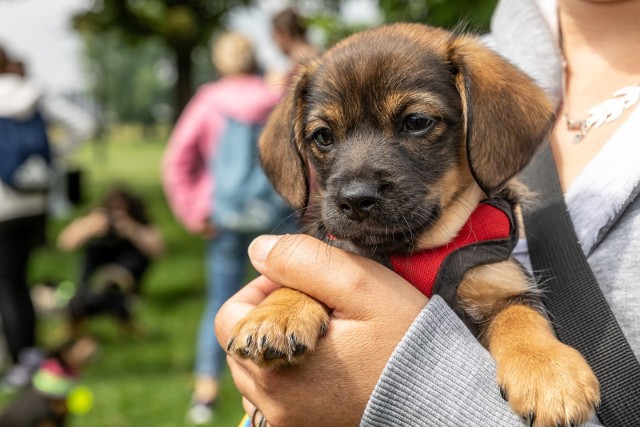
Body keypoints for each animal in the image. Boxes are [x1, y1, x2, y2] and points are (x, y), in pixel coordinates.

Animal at [229, 24, 600, 427]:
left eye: (417, 122)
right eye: (323, 136)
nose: (355, 199)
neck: (416, 248)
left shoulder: (505, 283)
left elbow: (522, 317)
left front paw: (549, 372)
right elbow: (299, 278)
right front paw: (275, 313)